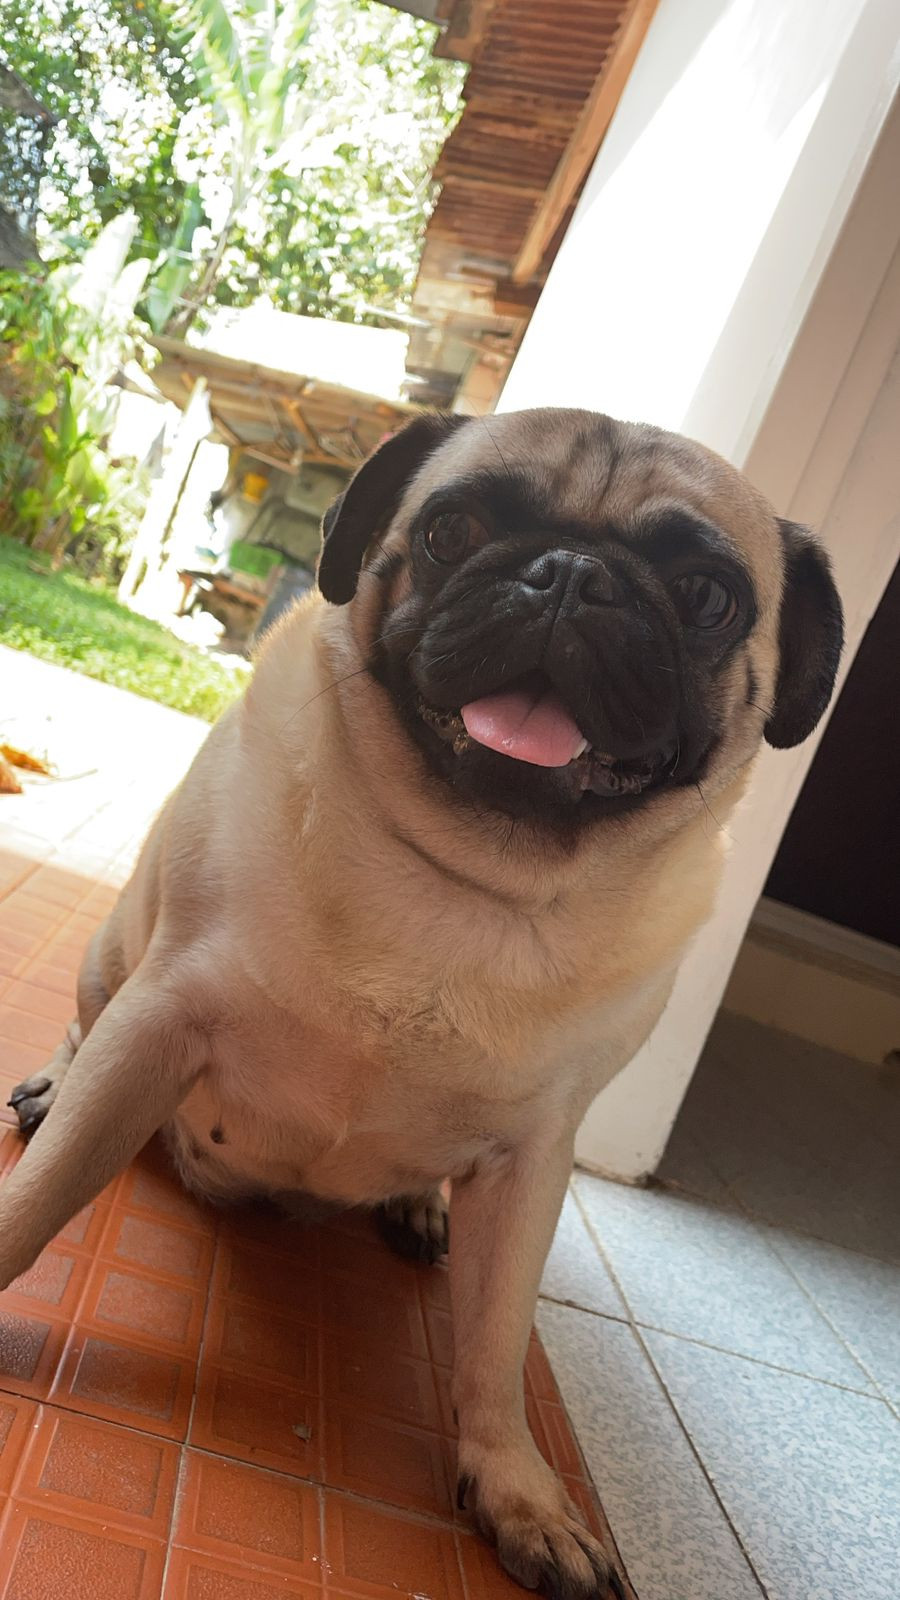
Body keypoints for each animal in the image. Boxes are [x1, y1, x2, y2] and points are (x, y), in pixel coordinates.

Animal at [2, 408, 842, 1598]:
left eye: (707, 595)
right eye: (452, 530)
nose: (570, 572)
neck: (466, 883)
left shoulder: (536, 1161)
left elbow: (494, 1345)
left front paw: (520, 1488)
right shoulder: (161, 1015)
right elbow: (37, 1203)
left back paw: (416, 1204)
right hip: (111, 950)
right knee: (85, 1035)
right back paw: (52, 1082)